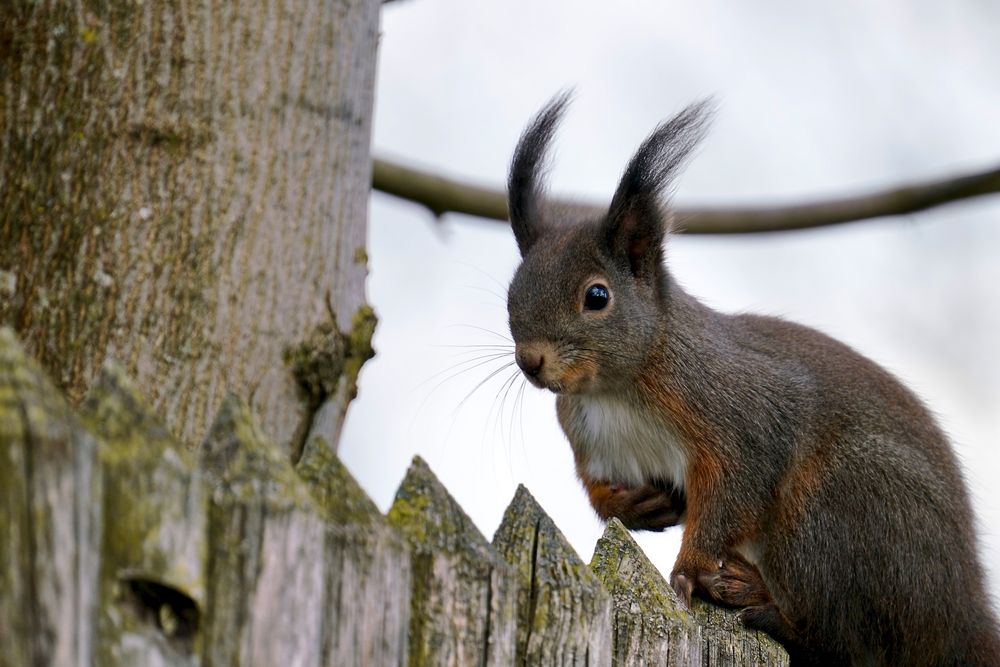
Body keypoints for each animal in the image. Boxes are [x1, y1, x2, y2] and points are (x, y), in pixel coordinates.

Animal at [504, 91, 1000, 664]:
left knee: (844, 636)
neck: (617, 389)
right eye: (511, 292)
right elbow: (600, 489)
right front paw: (632, 506)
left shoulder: (742, 415)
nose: (530, 361)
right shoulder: (592, 439)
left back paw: (763, 603)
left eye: (597, 296)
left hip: (839, 507)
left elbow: (732, 491)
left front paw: (689, 567)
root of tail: (962, 613)